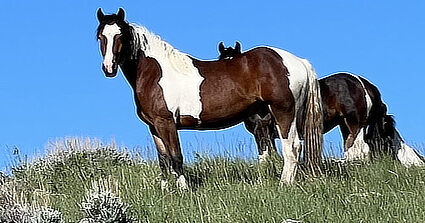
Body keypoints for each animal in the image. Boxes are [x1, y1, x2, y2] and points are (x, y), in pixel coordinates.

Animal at [95, 8, 322, 188]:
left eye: (121, 36)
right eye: (100, 37)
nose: (108, 68)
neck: (155, 72)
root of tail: (298, 61)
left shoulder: (166, 122)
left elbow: (176, 156)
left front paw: (183, 190)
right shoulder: (154, 127)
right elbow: (164, 160)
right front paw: (165, 191)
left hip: (283, 112)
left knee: (291, 147)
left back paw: (284, 184)